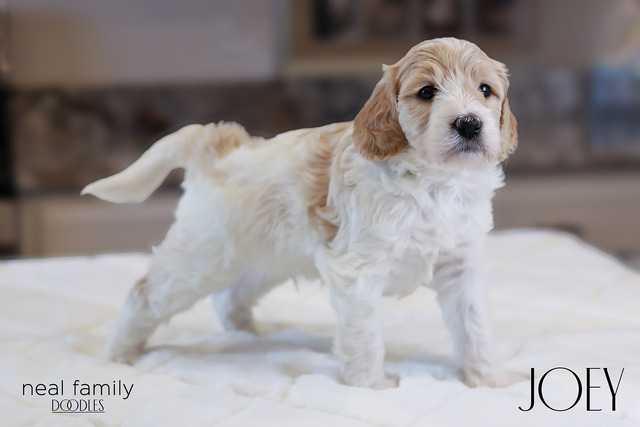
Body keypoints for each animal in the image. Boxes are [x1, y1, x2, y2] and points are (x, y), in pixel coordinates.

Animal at [81, 38, 520, 390]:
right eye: (427, 92)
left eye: (485, 90)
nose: (469, 123)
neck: (435, 183)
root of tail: (219, 145)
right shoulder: (357, 272)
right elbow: (366, 336)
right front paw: (371, 386)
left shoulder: (461, 267)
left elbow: (475, 329)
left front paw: (489, 382)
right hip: (201, 258)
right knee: (145, 294)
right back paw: (120, 353)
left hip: (264, 260)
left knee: (229, 296)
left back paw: (251, 336)